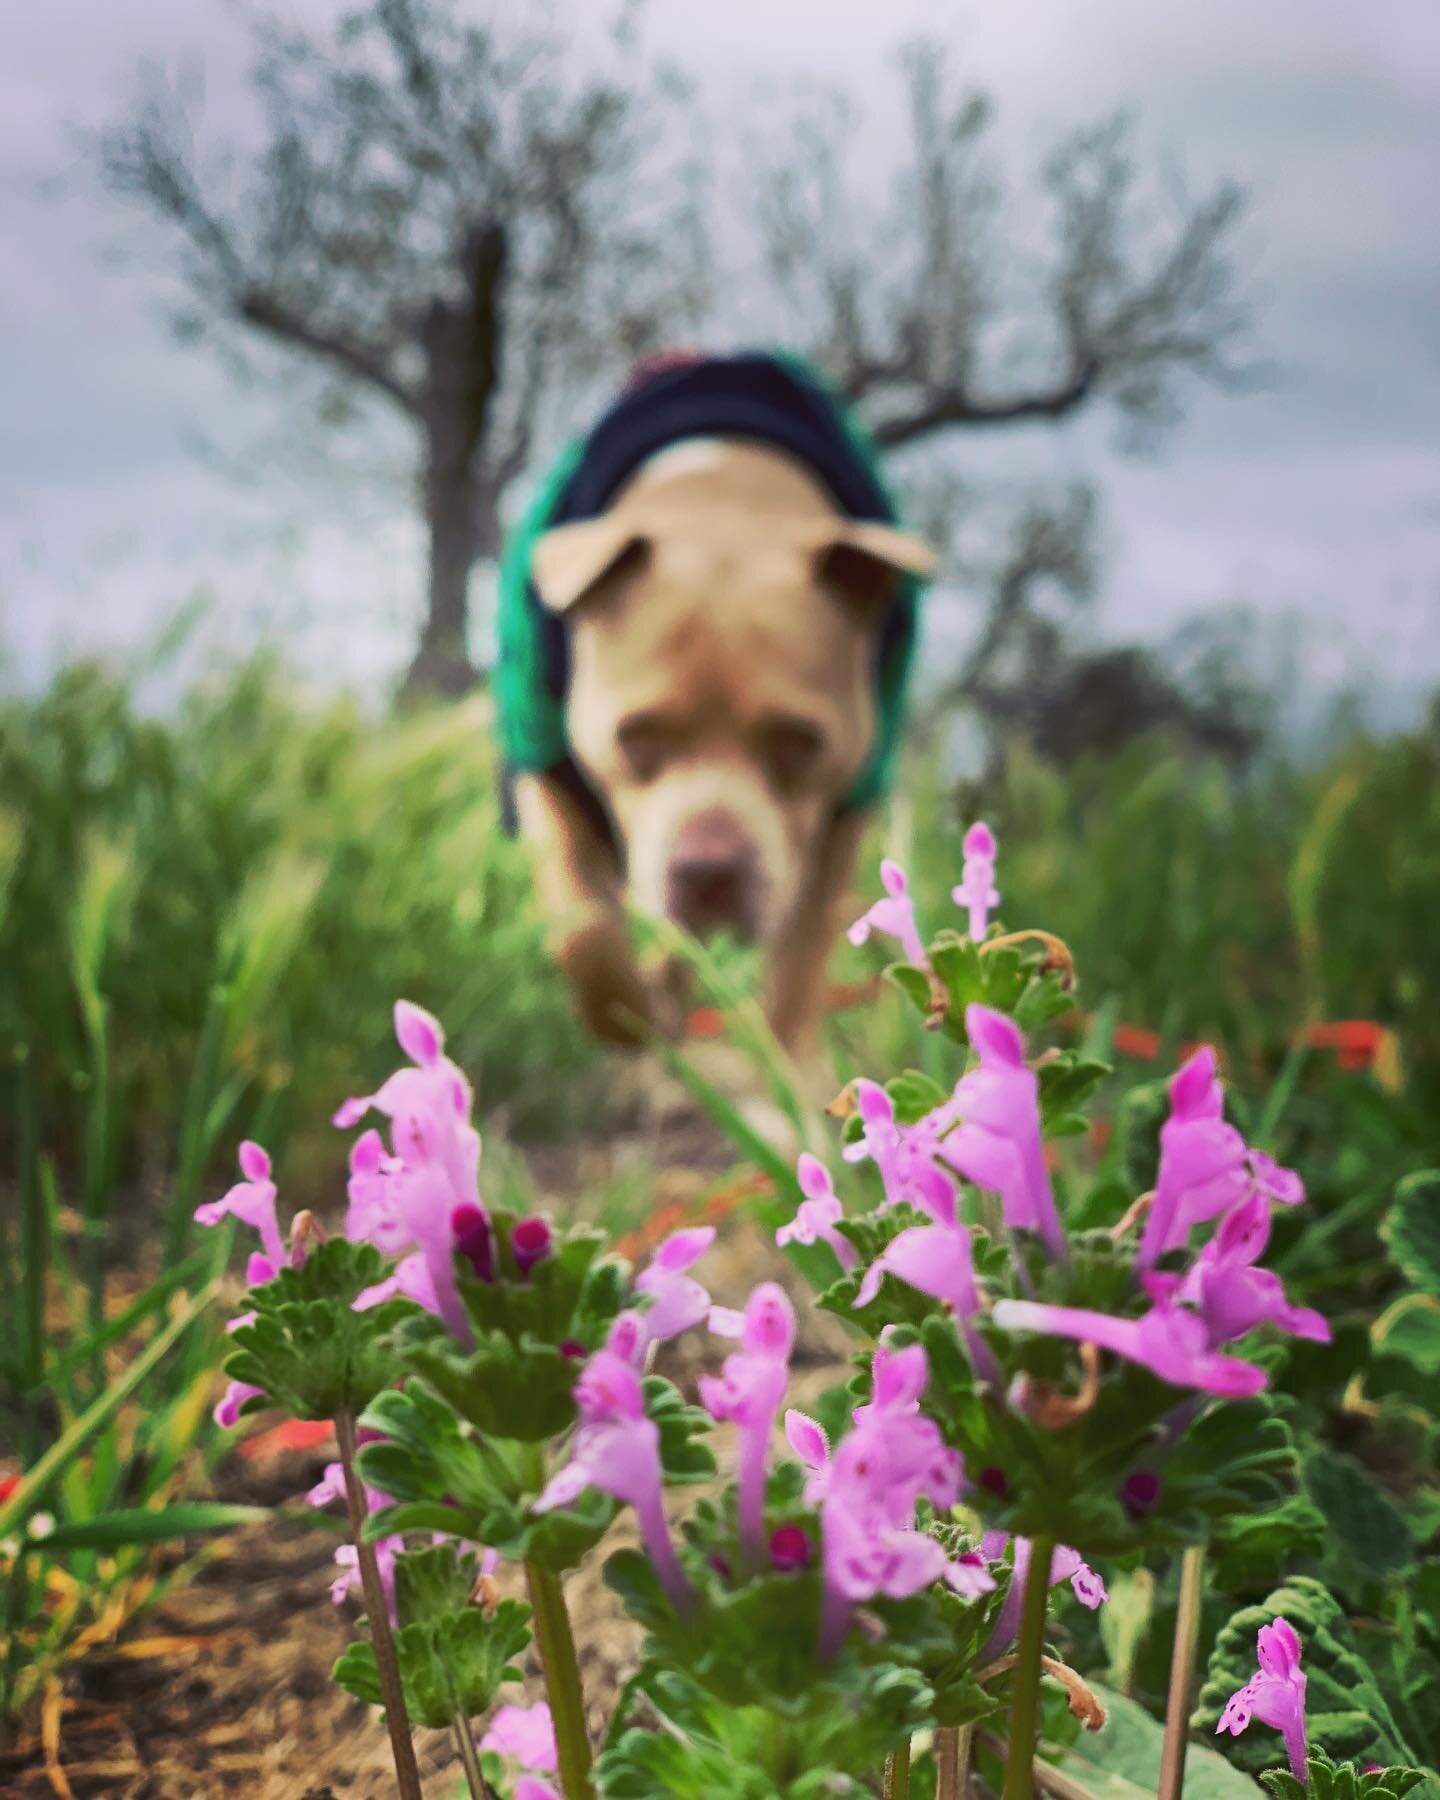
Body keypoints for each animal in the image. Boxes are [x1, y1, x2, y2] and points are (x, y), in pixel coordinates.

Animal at [500, 351, 936, 1051]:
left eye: (799, 741)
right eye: (635, 737)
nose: (708, 872)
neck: (721, 507)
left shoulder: (843, 809)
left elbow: (794, 981)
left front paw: (783, 1073)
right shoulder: (545, 759)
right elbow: (584, 931)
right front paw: (630, 1016)